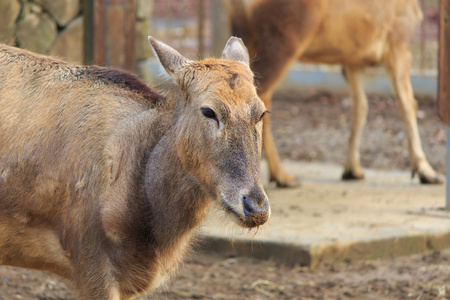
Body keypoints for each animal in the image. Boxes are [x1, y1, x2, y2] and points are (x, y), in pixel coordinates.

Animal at [229, 0, 442, 186]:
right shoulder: (398, 39)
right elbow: (408, 103)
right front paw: (427, 172)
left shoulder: (353, 58)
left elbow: (360, 107)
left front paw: (352, 170)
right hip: (283, 39)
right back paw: (282, 176)